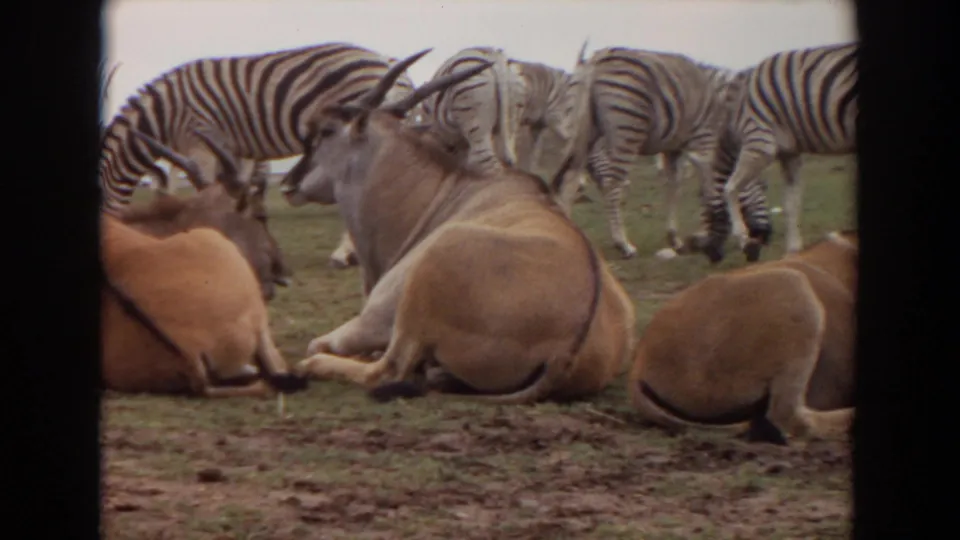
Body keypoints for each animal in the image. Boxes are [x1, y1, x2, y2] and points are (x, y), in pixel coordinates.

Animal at [701, 42, 858, 259]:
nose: (711, 253)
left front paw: (743, 239)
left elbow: (729, 188)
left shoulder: (759, 143)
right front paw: (793, 252)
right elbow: (791, 204)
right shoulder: (790, 154)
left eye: (710, 214)